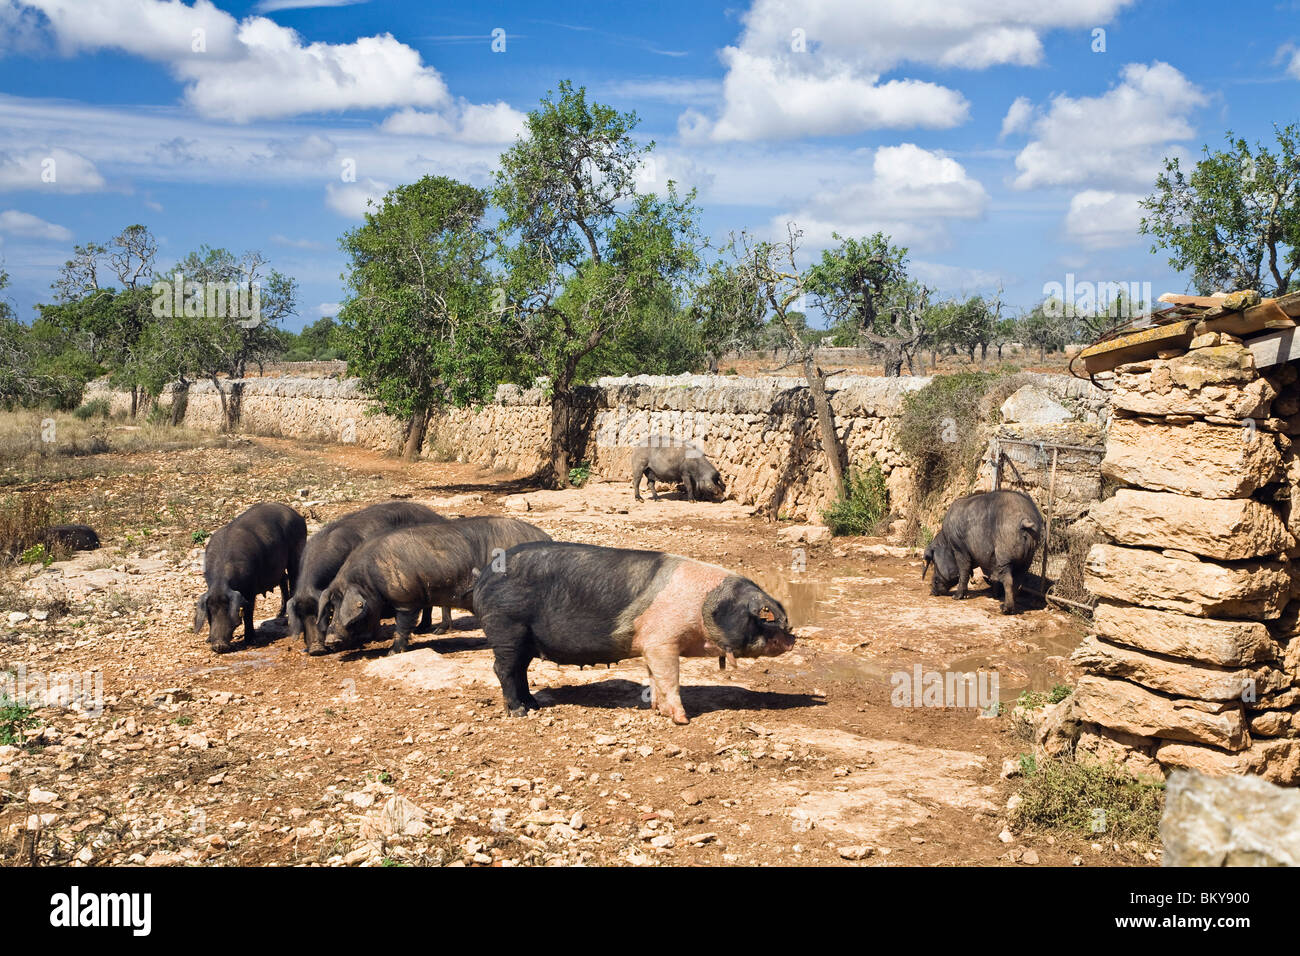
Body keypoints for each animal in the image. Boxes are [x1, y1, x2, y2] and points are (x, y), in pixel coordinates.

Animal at [192, 504, 306, 655]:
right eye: (210, 613)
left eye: (229, 610)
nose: (219, 646)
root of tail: (297, 514)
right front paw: (207, 640)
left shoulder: (250, 588)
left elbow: (248, 612)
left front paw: (250, 640)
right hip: (278, 566)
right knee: (283, 579)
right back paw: (279, 614)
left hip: (297, 551)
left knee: (293, 579)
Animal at [323, 515, 553, 658]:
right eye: (332, 606)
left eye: (343, 607)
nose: (329, 640)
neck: (369, 581)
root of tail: (547, 537)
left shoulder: (406, 598)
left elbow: (402, 626)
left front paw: (391, 653)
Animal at [470, 541, 790, 723]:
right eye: (766, 617)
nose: (792, 637)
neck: (704, 606)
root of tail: (483, 577)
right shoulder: (663, 641)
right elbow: (670, 678)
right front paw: (682, 720)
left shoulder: (651, 645)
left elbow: (655, 678)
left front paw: (658, 711)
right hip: (506, 627)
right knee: (503, 669)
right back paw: (518, 712)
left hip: (522, 638)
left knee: (520, 670)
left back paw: (533, 705)